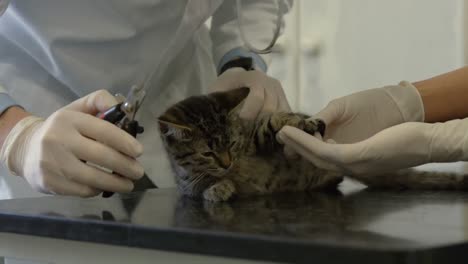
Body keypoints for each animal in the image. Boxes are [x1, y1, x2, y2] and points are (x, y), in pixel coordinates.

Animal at [159, 87, 342, 201]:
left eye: (232, 144)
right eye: (207, 153)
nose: (227, 164)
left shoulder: (252, 135)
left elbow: (269, 123)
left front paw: (303, 122)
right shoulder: (187, 186)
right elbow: (202, 182)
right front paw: (218, 187)